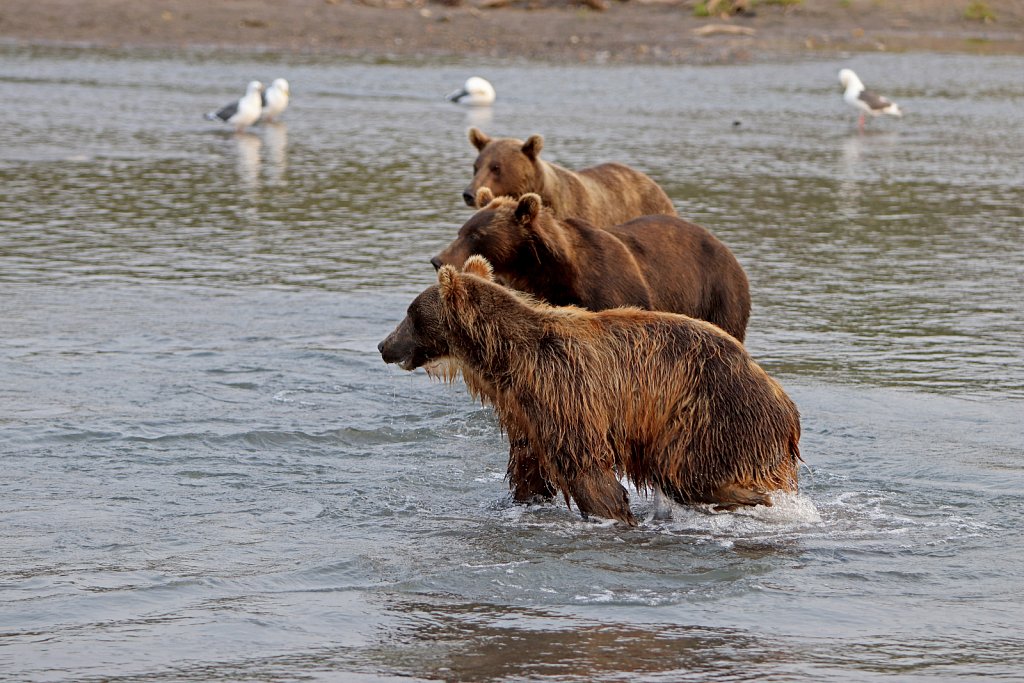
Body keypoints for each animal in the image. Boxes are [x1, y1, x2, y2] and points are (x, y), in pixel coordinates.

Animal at [376, 253, 798, 528]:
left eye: (412, 314)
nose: (384, 345)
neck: (509, 361)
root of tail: (785, 402)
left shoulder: (567, 389)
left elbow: (585, 466)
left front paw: (614, 513)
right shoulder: (526, 411)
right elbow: (528, 469)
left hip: (708, 415)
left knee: (688, 473)